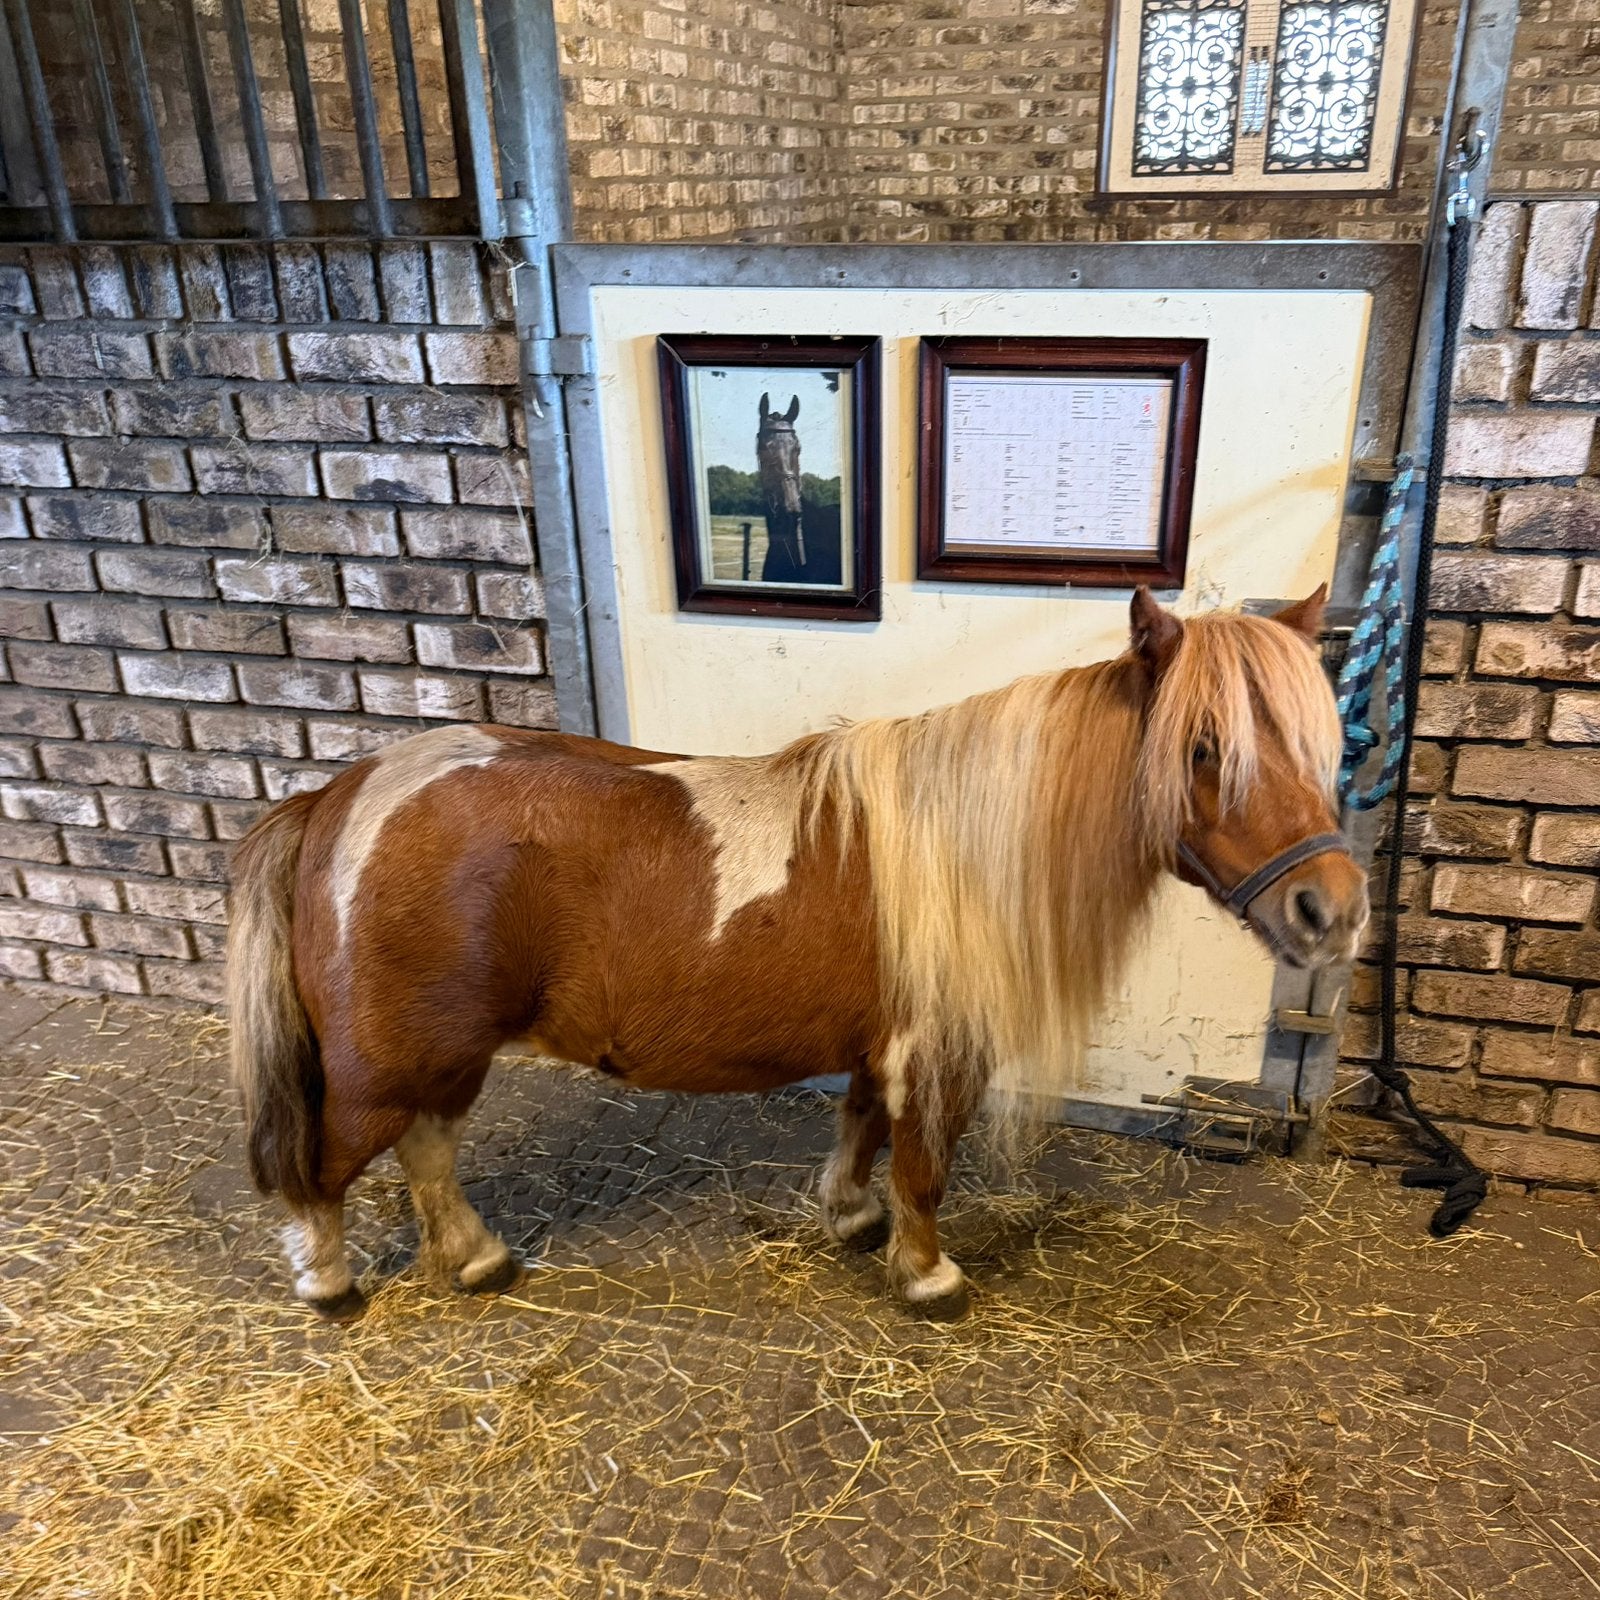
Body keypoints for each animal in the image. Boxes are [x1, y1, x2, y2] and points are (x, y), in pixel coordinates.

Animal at [227, 587, 1367, 1323]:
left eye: (1320, 745)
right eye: (1205, 748)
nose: (1332, 912)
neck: (963, 840)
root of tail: (334, 796)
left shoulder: (877, 1047)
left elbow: (861, 1133)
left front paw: (851, 1218)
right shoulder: (935, 1054)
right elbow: (923, 1168)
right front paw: (925, 1276)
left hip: (444, 1055)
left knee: (428, 1150)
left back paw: (474, 1260)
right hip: (390, 1064)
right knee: (328, 1168)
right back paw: (329, 1283)